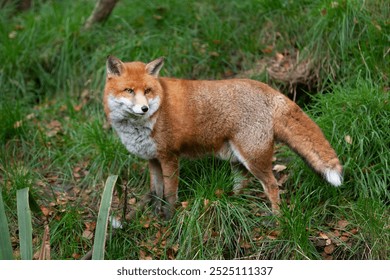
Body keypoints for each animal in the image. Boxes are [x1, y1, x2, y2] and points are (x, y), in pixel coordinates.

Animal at [103, 56, 342, 219]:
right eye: (129, 90)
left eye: (148, 90)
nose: (144, 108)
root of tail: (267, 88)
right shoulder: (152, 160)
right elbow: (156, 192)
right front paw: (155, 216)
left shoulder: (169, 157)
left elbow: (170, 194)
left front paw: (169, 220)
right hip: (237, 160)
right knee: (243, 183)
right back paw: (234, 203)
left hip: (253, 158)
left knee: (273, 185)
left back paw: (277, 219)